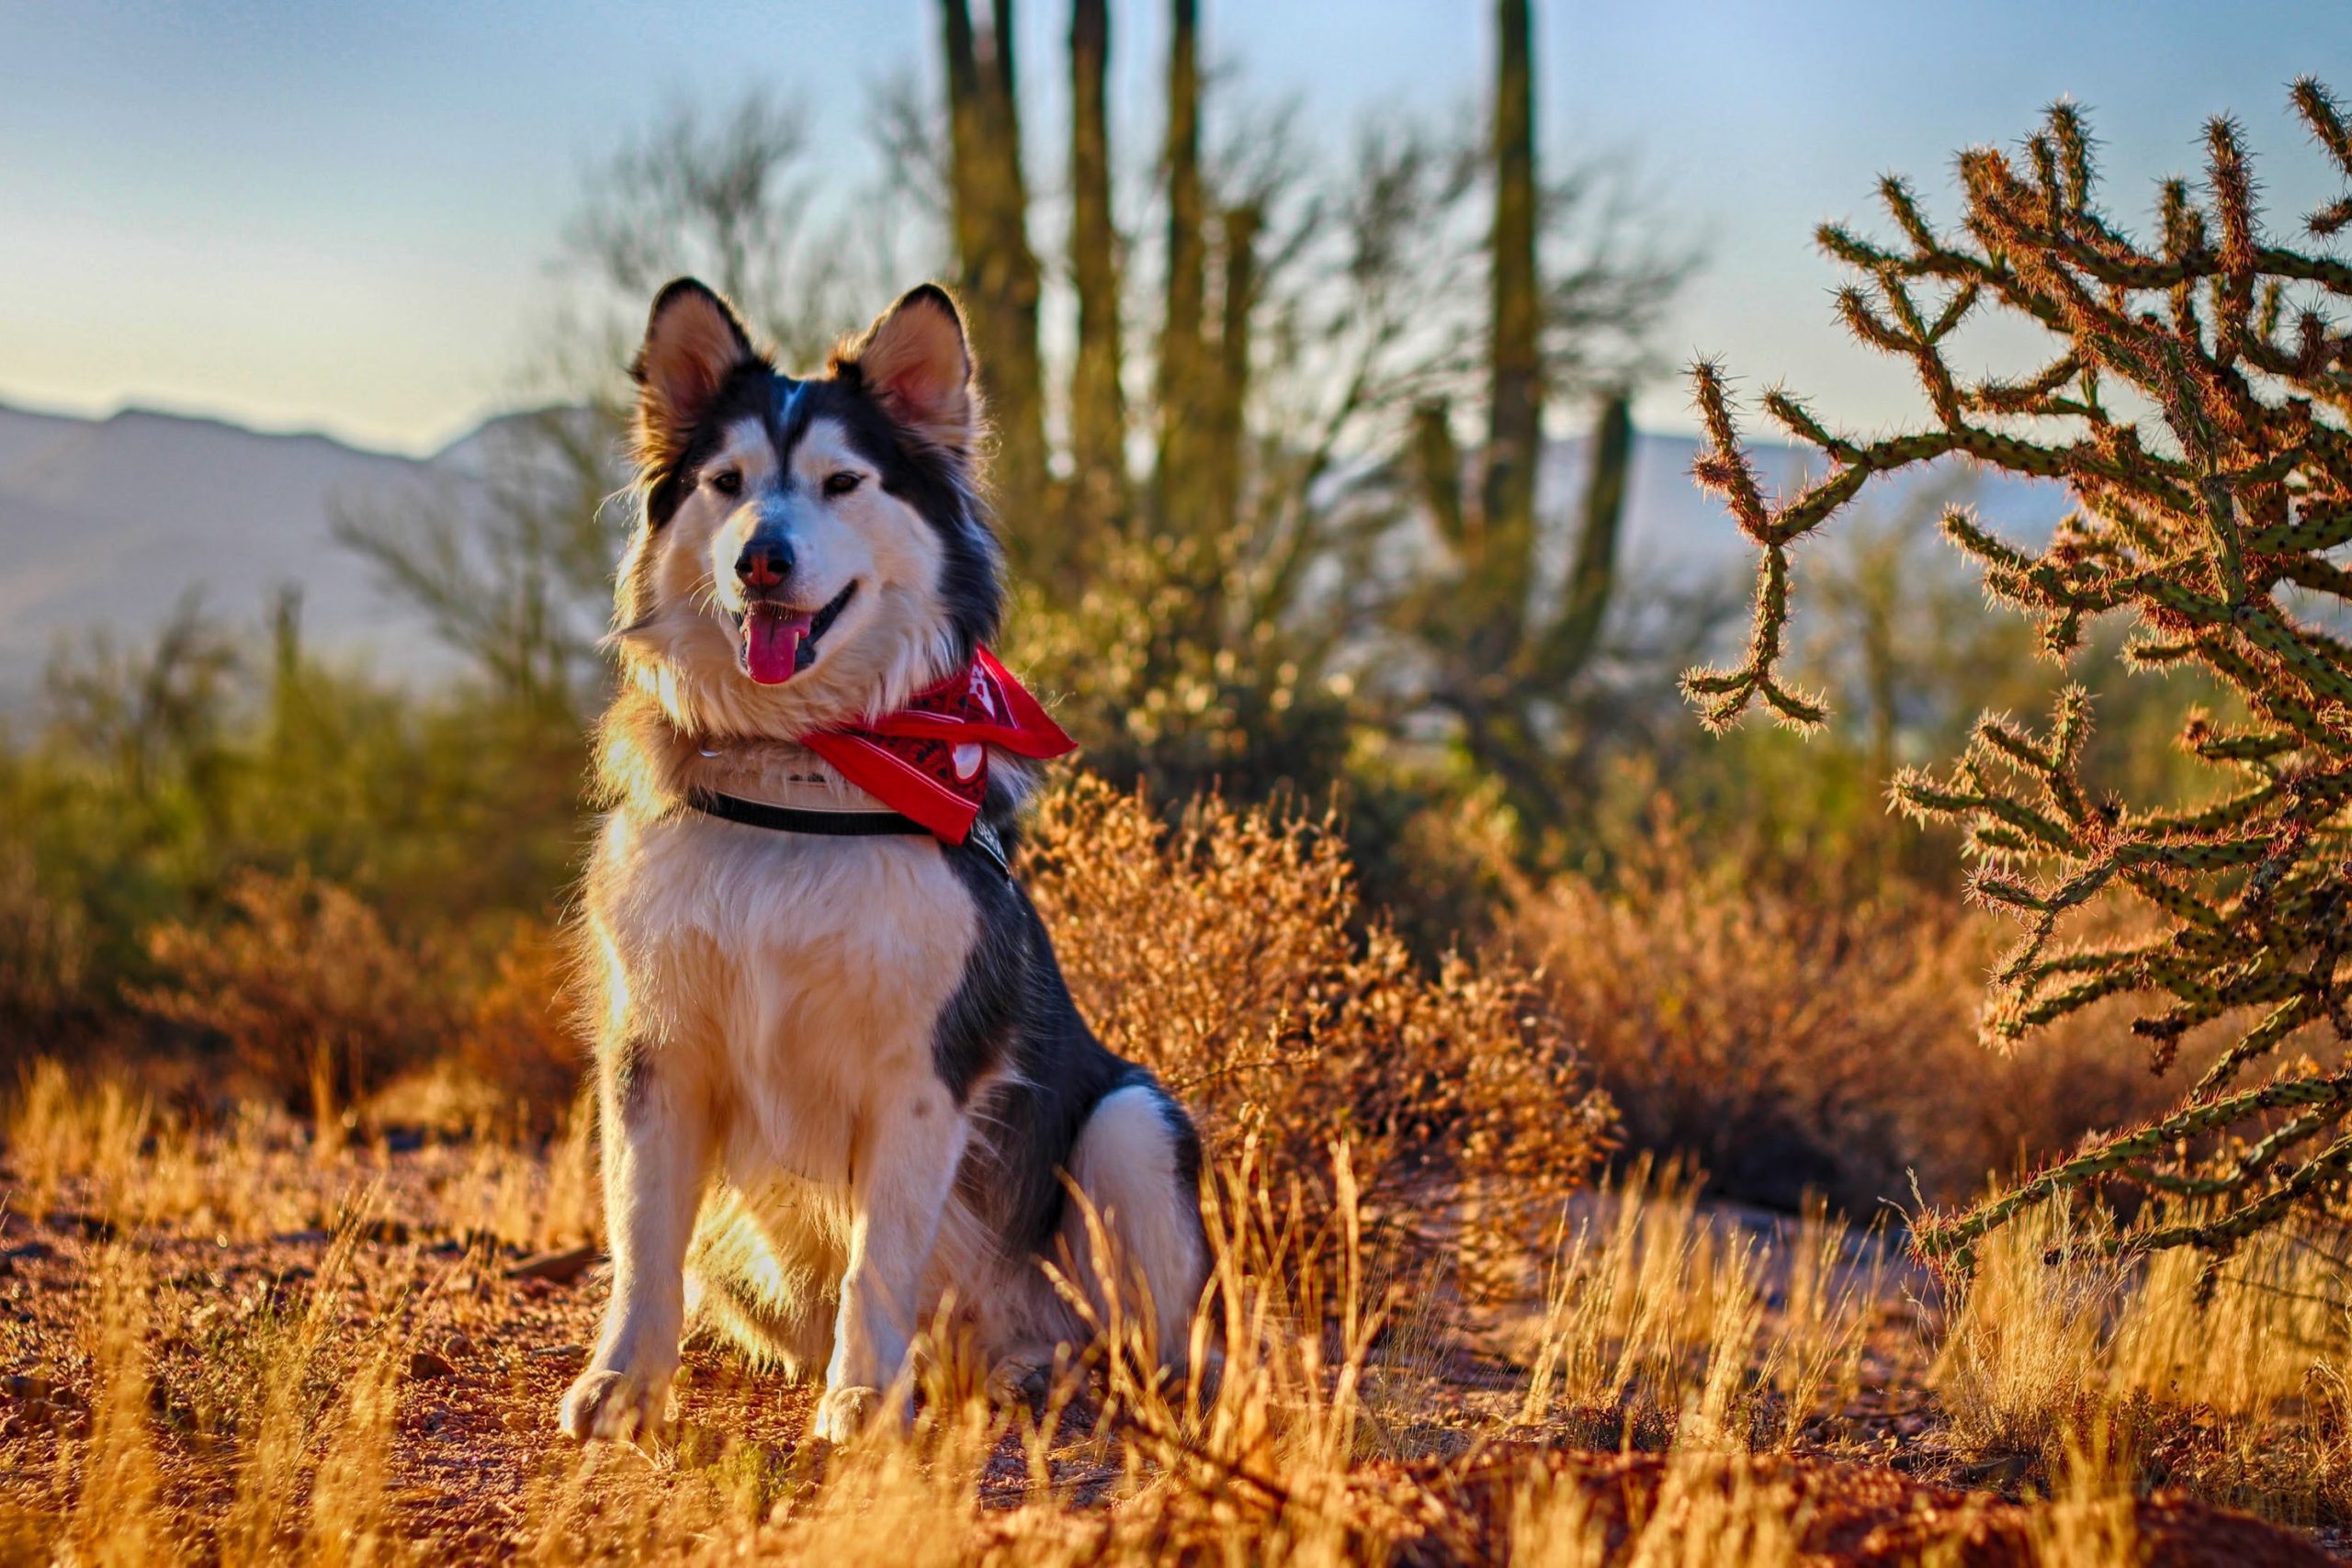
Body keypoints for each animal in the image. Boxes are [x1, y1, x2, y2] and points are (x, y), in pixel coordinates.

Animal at [557, 276, 1204, 1438]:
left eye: (842, 482)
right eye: (726, 484)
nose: (761, 557)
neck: (797, 769)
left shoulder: (919, 1073)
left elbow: (878, 1262)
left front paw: (861, 1400)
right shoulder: (655, 1052)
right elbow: (641, 1240)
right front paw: (623, 1380)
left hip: (1134, 1126)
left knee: (1137, 1344)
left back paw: (1047, 1374)